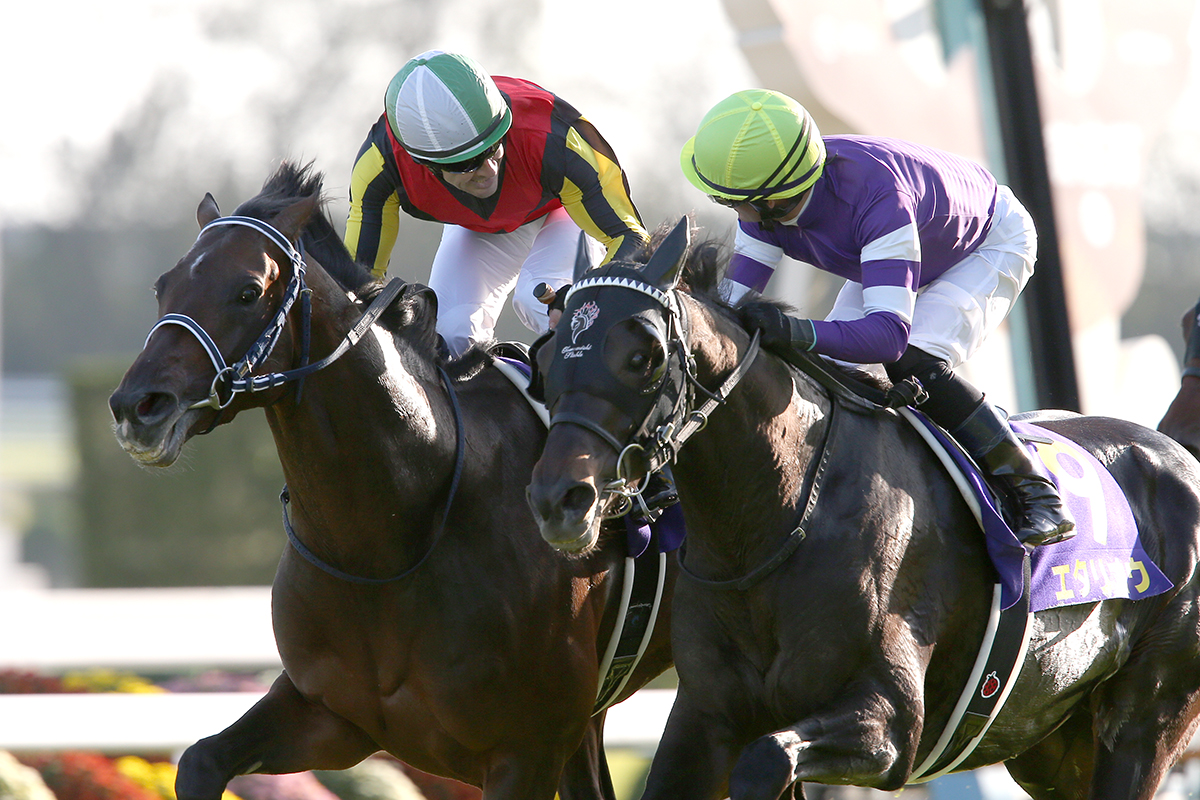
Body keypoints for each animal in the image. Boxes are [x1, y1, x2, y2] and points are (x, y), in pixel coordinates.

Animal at [105, 163, 676, 800]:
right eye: (163, 286)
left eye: (248, 290)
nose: (137, 407)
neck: (387, 541)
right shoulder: (331, 715)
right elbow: (200, 760)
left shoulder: (527, 748)